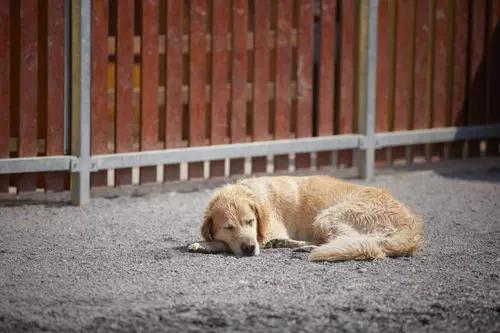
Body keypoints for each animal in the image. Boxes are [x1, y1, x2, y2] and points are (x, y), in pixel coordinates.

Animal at [188, 175, 422, 260]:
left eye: (250, 222)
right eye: (229, 227)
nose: (249, 249)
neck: (249, 192)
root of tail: (410, 227)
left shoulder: (263, 234)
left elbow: (223, 243)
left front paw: (204, 244)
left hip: (328, 216)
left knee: (361, 244)